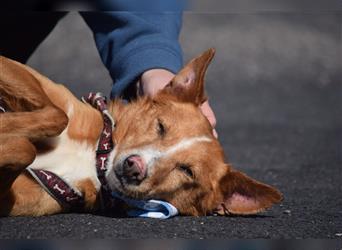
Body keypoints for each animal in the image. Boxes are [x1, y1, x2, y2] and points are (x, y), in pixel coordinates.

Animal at [0, 49, 282, 217]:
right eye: (161, 126)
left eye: (187, 171)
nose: (134, 167)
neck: (94, 158)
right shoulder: (14, 68)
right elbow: (59, 116)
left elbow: (27, 146)